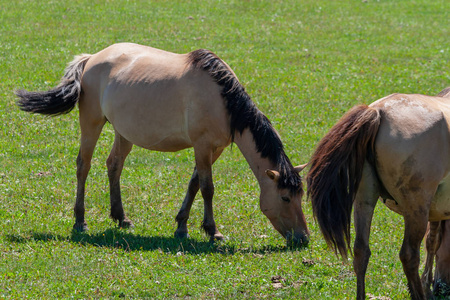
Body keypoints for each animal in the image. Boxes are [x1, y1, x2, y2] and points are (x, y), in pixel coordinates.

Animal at [14, 42, 310, 244]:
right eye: (285, 197)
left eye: (300, 196)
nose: (303, 238)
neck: (223, 100)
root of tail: (90, 59)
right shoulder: (202, 146)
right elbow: (207, 188)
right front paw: (213, 231)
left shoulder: (214, 149)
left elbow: (193, 184)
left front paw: (181, 226)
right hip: (91, 122)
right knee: (83, 166)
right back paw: (80, 221)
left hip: (123, 131)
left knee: (114, 165)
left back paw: (121, 217)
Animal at [308, 87, 450, 300]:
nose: (441, 286)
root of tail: (378, 111)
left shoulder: (437, 210)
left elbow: (433, 242)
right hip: (416, 207)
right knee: (409, 255)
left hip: (364, 198)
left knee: (361, 251)